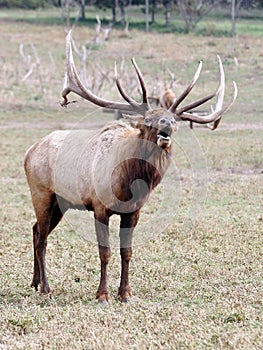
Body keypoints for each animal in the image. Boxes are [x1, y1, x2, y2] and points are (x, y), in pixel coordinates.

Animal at [24, 31, 239, 302]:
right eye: (148, 119)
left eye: (175, 120)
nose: (166, 125)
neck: (128, 183)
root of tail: (28, 152)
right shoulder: (99, 206)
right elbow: (104, 252)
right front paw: (102, 295)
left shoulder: (134, 211)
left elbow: (127, 252)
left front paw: (125, 293)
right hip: (42, 194)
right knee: (42, 237)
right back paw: (46, 288)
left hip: (61, 204)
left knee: (35, 230)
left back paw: (34, 282)